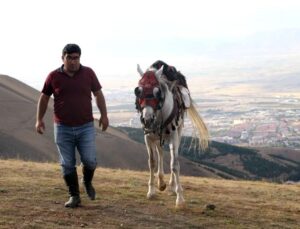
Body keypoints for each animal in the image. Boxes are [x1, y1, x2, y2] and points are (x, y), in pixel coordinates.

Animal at [134, 63, 209, 208]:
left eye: (157, 92)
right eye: (138, 91)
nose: (147, 119)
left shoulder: (173, 136)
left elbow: (174, 165)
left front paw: (179, 198)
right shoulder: (148, 137)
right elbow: (152, 162)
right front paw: (151, 191)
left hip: (177, 132)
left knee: (173, 156)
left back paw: (172, 186)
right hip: (158, 136)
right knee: (160, 152)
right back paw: (161, 182)